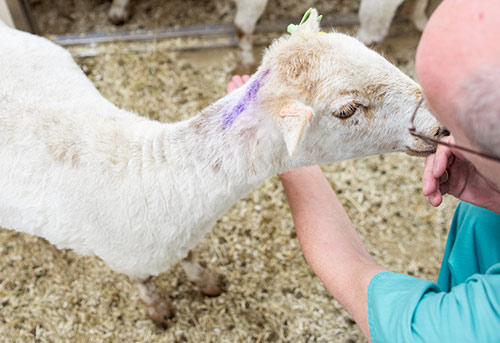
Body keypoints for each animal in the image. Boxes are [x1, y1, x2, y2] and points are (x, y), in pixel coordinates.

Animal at [0, 9, 446, 330]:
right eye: (347, 109)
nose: (439, 126)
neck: (155, 172)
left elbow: (190, 258)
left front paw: (206, 282)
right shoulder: (129, 259)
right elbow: (145, 284)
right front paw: (159, 310)